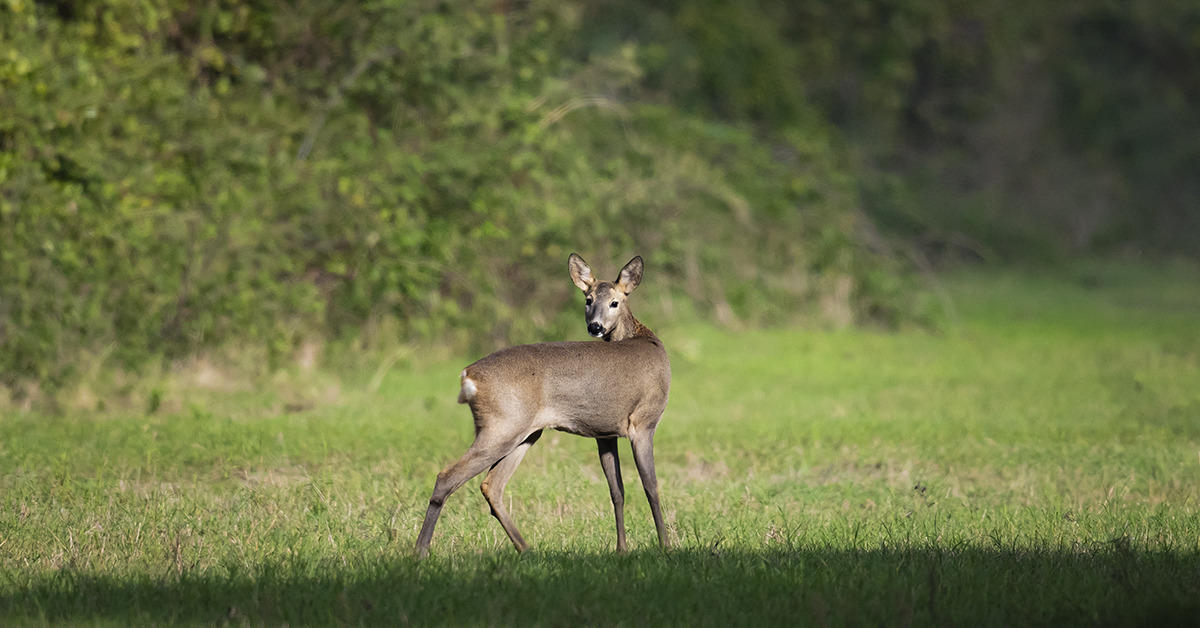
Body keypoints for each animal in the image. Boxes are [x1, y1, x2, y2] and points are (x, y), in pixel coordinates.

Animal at [415, 253, 672, 557]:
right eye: (588, 299)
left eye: (614, 302)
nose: (595, 327)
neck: (643, 337)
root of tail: (468, 376)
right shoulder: (644, 421)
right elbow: (651, 486)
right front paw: (666, 546)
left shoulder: (605, 432)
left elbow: (616, 490)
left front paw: (621, 549)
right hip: (503, 425)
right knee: (447, 476)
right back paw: (420, 551)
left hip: (523, 432)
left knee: (491, 485)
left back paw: (526, 548)